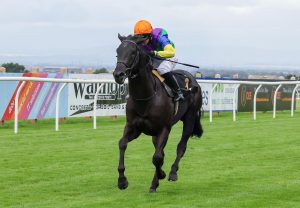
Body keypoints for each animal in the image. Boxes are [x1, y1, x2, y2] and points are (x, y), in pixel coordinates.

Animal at [112, 33, 204, 192]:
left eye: (133, 52)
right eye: (117, 52)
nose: (118, 74)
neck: (146, 97)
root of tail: (193, 79)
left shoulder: (164, 128)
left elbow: (157, 157)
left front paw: (161, 175)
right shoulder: (133, 127)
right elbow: (122, 144)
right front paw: (122, 181)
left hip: (190, 118)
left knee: (181, 147)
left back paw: (172, 173)